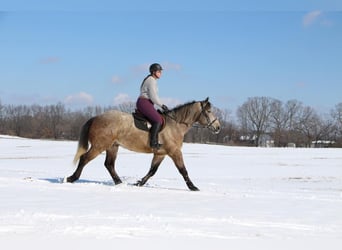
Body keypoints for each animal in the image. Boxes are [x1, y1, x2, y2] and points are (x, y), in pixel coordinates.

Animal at [66, 96, 222, 190]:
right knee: (85, 158)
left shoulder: (160, 154)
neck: (175, 125)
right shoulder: (174, 152)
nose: (218, 127)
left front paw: (139, 183)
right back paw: (72, 178)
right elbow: (183, 170)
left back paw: (119, 183)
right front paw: (193, 187)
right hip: (99, 146)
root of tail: (96, 117)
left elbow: (152, 171)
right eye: (208, 111)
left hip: (112, 146)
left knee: (109, 164)